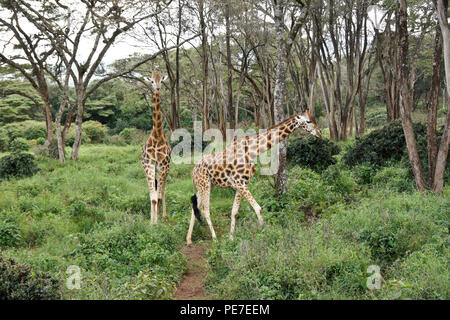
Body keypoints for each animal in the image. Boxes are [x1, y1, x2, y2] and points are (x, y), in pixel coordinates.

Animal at [187, 110, 324, 245]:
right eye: (308, 121)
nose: (320, 133)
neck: (253, 151)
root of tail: (193, 172)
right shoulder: (240, 183)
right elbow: (258, 209)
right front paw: (265, 233)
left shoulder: (241, 184)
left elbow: (234, 212)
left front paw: (231, 238)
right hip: (205, 185)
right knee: (205, 209)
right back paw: (215, 239)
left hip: (207, 185)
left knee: (195, 207)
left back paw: (188, 240)